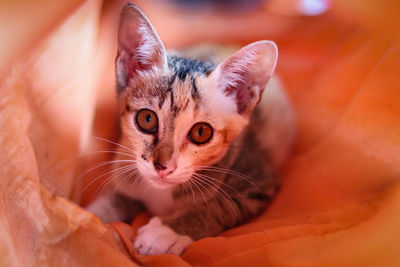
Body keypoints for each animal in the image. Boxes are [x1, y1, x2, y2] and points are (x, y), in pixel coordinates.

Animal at [86, 3, 294, 256]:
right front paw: (86, 220)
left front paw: (166, 231)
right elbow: (109, 202)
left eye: (201, 133)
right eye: (147, 119)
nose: (162, 167)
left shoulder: (258, 180)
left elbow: (218, 206)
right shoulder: (125, 170)